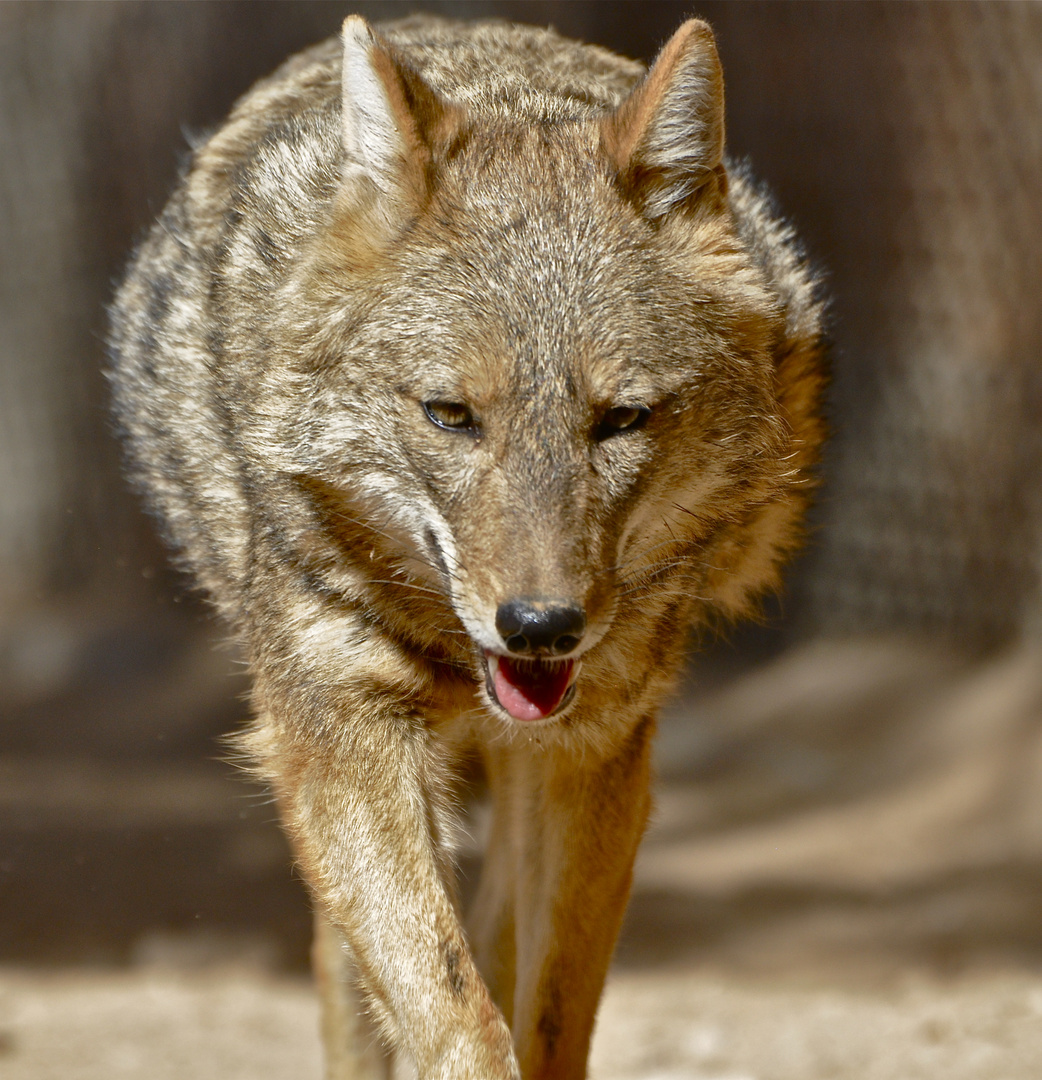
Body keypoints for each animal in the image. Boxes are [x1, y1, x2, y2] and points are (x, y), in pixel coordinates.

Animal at [105, 14, 820, 1080]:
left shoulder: (596, 750)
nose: (539, 627)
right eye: (450, 415)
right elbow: (453, 1012)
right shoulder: (340, 735)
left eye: (621, 420)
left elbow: (547, 1011)